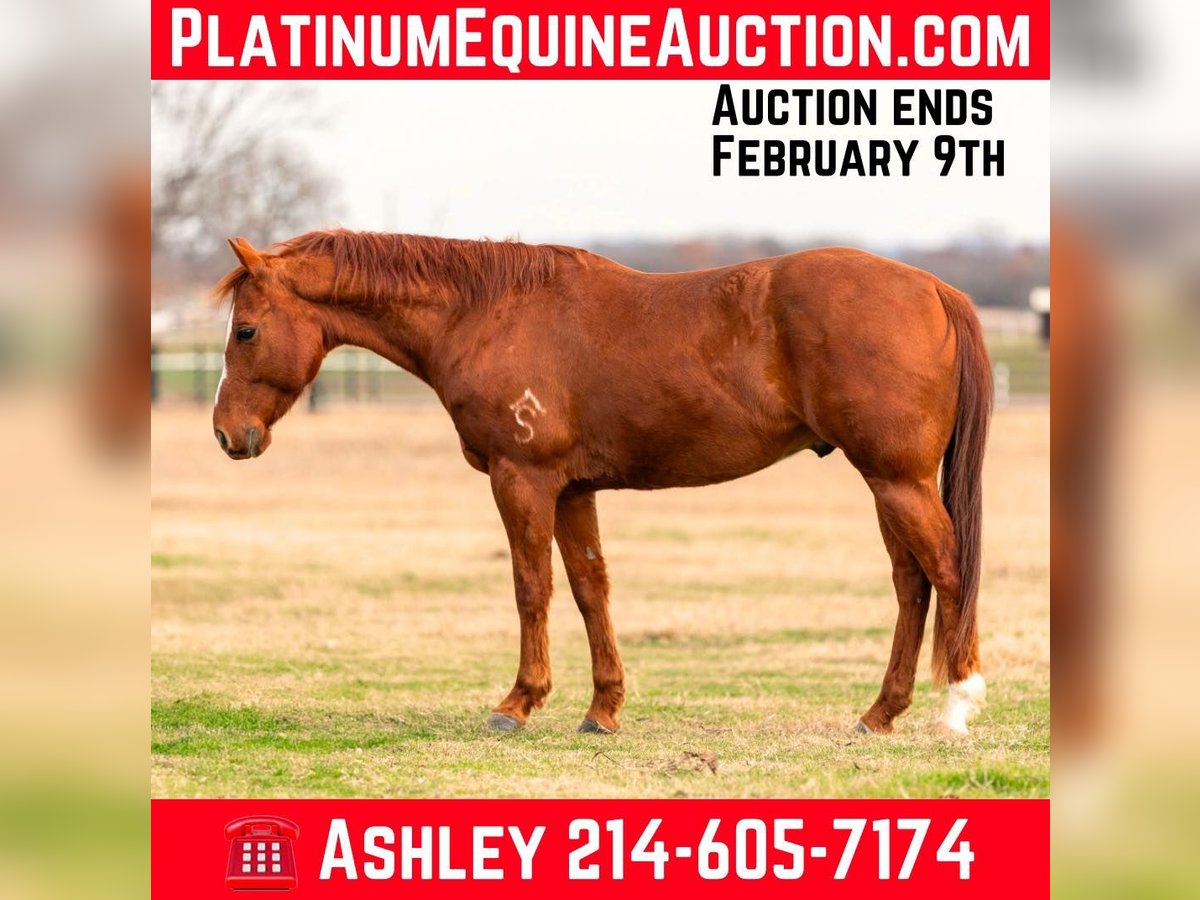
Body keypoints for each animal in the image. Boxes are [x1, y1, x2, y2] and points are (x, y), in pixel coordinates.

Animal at [211, 230, 988, 739]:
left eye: (245, 331)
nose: (226, 434)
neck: (489, 311)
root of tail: (932, 287)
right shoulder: (573, 490)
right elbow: (590, 589)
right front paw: (603, 709)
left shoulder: (522, 481)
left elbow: (532, 588)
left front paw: (518, 703)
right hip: (889, 484)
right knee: (912, 585)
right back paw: (880, 714)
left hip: (897, 480)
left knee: (947, 571)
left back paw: (957, 706)